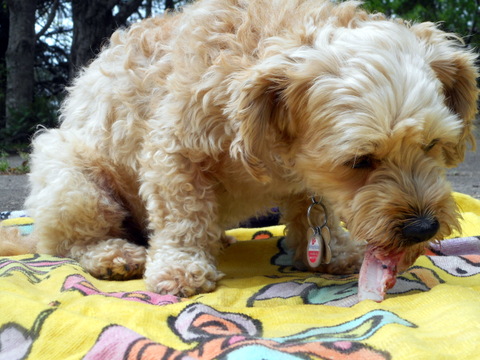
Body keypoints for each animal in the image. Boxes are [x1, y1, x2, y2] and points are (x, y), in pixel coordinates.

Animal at [2, 0, 476, 296]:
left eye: (432, 144)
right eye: (359, 160)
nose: (424, 229)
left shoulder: (305, 177)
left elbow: (314, 210)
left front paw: (332, 251)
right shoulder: (172, 151)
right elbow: (180, 215)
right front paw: (181, 266)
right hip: (71, 177)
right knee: (68, 243)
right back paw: (115, 254)